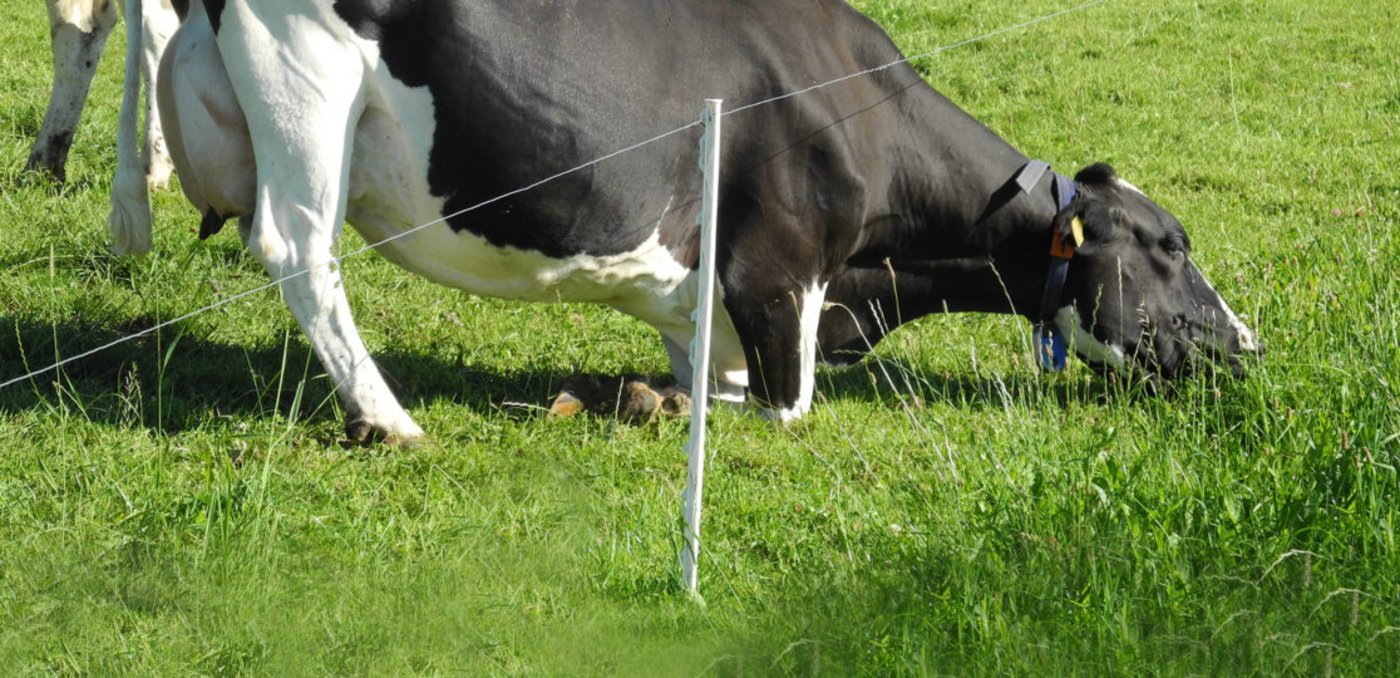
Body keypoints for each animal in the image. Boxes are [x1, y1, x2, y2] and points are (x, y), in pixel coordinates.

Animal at [143, 0, 1257, 445]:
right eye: (1168, 246)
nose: (1245, 345)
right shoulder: (779, 279)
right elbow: (780, 410)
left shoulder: (713, 302)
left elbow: (699, 373)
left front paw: (650, 400)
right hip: (306, 81)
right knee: (299, 250)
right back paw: (390, 419)